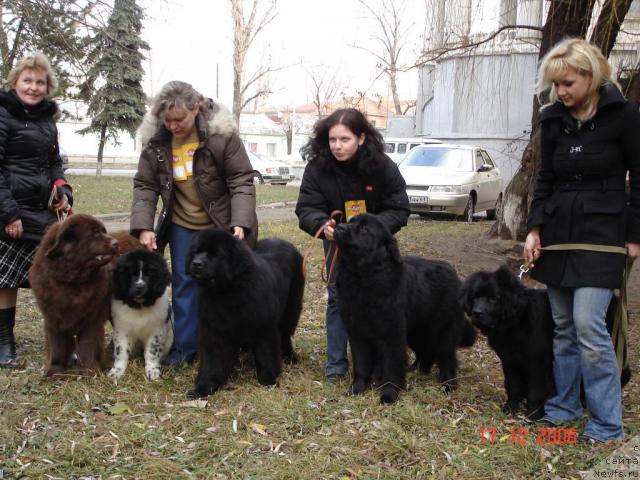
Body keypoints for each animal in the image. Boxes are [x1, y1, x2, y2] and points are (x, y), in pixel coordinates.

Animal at [30, 213, 122, 376]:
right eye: (94, 234)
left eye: (103, 231)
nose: (116, 243)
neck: (71, 281)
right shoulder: (53, 318)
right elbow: (57, 346)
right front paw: (54, 370)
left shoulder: (91, 319)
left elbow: (89, 345)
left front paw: (90, 370)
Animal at [108, 249, 172, 380]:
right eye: (131, 273)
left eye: (149, 274)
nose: (139, 286)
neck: (140, 306)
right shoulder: (121, 330)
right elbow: (121, 351)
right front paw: (117, 371)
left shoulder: (157, 330)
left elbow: (152, 351)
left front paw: (152, 370)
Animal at [185, 229, 304, 398]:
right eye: (197, 251)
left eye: (216, 254)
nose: (196, 264)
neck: (226, 293)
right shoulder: (213, 330)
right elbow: (212, 361)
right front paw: (204, 387)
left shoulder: (264, 328)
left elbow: (266, 354)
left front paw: (268, 378)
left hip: (292, 308)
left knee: (285, 334)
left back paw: (290, 356)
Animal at [336, 212, 476, 404]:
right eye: (350, 222)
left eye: (364, 229)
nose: (339, 227)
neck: (363, 278)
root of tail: (455, 275)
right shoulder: (357, 334)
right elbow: (362, 365)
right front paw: (357, 389)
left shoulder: (392, 335)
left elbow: (391, 367)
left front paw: (389, 395)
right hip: (416, 331)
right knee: (425, 351)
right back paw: (418, 369)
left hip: (441, 332)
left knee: (447, 357)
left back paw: (448, 385)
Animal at [460, 266, 632, 420]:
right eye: (475, 297)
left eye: (493, 299)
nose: (477, 313)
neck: (516, 321)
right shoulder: (509, 360)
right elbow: (513, 385)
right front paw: (510, 407)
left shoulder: (538, 362)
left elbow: (535, 390)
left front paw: (533, 414)